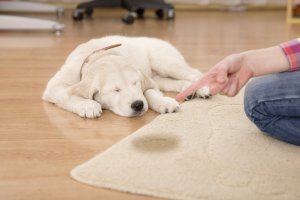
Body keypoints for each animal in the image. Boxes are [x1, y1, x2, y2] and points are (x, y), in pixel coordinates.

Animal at [42, 35, 210, 118]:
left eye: (135, 83)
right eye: (116, 90)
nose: (138, 105)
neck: (98, 56)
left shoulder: (146, 81)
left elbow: (149, 92)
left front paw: (163, 102)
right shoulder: (54, 86)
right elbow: (67, 95)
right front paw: (88, 105)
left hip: (165, 62)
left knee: (195, 73)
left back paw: (202, 89)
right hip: (159, 76)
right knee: (173, 82)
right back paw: (189, 90)